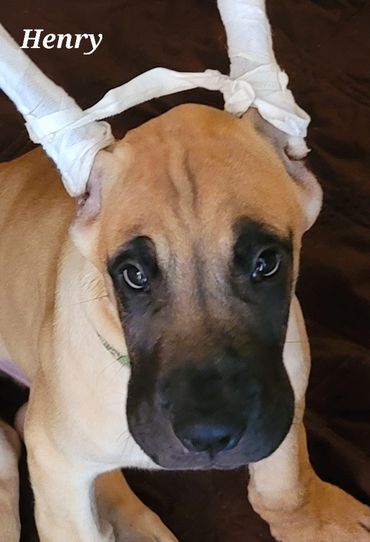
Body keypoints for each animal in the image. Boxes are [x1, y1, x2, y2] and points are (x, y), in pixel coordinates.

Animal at [0, 105, 370, 542]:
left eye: (266, 263)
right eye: (134, 275)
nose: (208, 435)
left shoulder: (287, 392)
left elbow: (284, 481)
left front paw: (313, 520)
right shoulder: (55, 461)